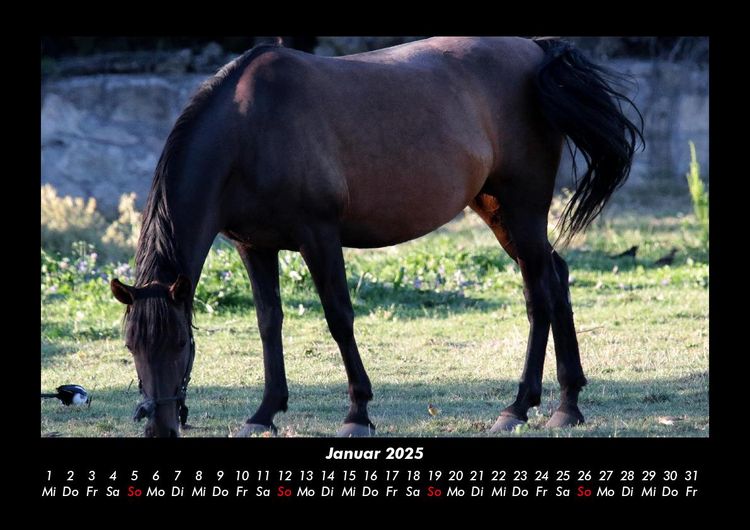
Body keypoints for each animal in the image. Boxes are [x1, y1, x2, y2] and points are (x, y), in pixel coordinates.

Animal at [110, 36, 642, 437]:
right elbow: (268, 322)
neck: (250, 129)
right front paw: (264, 413)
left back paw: (523, 406)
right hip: (496, 209)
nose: (160, 428)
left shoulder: (319, 236)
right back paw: (563, 405)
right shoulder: (254, 246)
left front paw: (357, 413)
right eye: (131, 346)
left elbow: (339, 318)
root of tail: (534, 50)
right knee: (556, 276)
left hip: (522, 208)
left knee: (539, 293)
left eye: (181, 344)